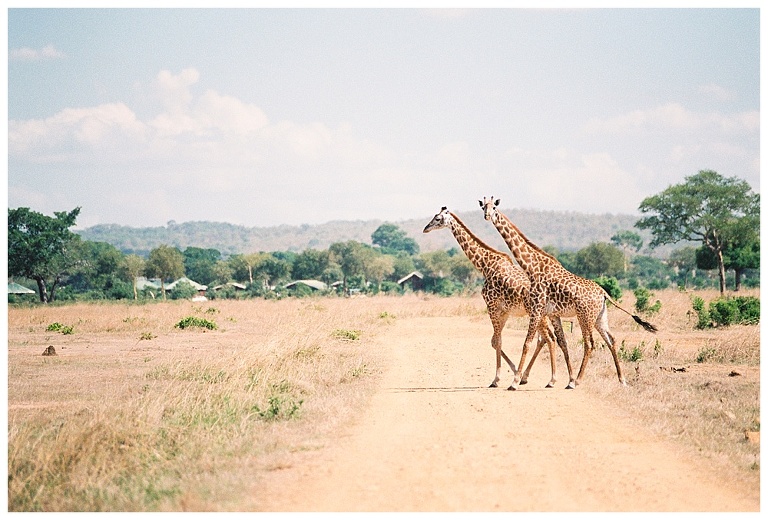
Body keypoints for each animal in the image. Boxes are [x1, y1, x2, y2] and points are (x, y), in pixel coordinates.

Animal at [424, 205, 572, 388]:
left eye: (437, 218)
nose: (425, 228)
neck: (485, 266)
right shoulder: (504, 310)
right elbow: (495, 341)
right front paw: (513, 372)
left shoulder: (492, 306)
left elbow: (497, 341)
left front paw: (498, 378)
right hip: (544, 315)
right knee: (549, 339)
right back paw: (535, 378)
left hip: (537, 314)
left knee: (549, 339)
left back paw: (549, 379)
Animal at [476, 197, 656, 388]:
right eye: (483, 206)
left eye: (494, 208)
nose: (487, 216)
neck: (532, 266)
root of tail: (603, 294)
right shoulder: (551, 313)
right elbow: (560, 341)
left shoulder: (537, 309)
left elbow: (528, 343)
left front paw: (515, 381)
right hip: (600, 317)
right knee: (611, 340)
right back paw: (621, 380)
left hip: (585, 316)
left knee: (590, 343)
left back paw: (576, 381)